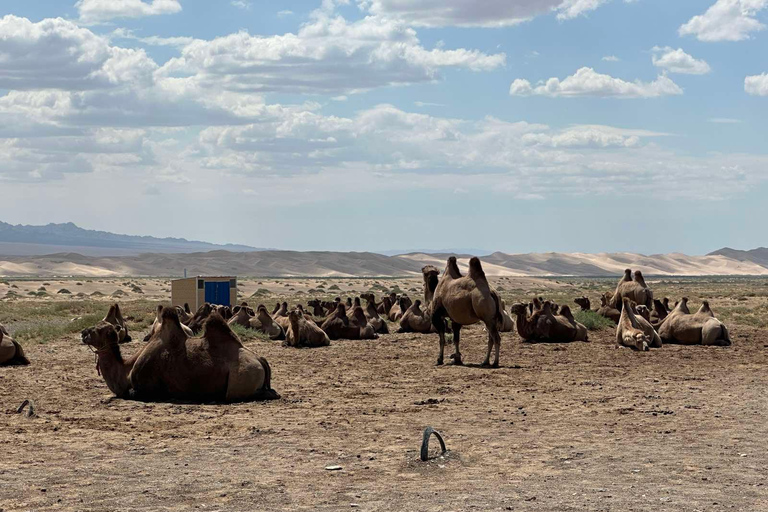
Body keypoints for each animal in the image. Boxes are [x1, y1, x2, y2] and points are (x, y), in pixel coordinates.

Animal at [82, 308, 279, 402]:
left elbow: (130, 393)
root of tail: (259, 359)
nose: (83, 333)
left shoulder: (144, 387)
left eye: (99, 329)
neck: (126, 370)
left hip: (242, 378)